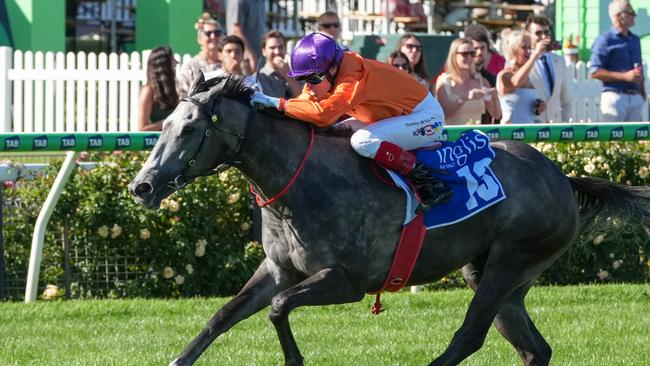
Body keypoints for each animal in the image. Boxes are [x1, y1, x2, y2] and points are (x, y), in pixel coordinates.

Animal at [128, 75, 648, 366]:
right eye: (163, 125)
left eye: (189, 129)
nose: (143, 186)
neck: (299, 183)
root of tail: (559, 175)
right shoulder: (278, 270)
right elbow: (221, 317)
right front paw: (178, 358)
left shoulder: (347, 281)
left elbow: (278, 308)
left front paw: (295, 359)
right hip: (493, 273)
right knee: (533, 349)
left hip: (510, 261)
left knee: (469, 337)